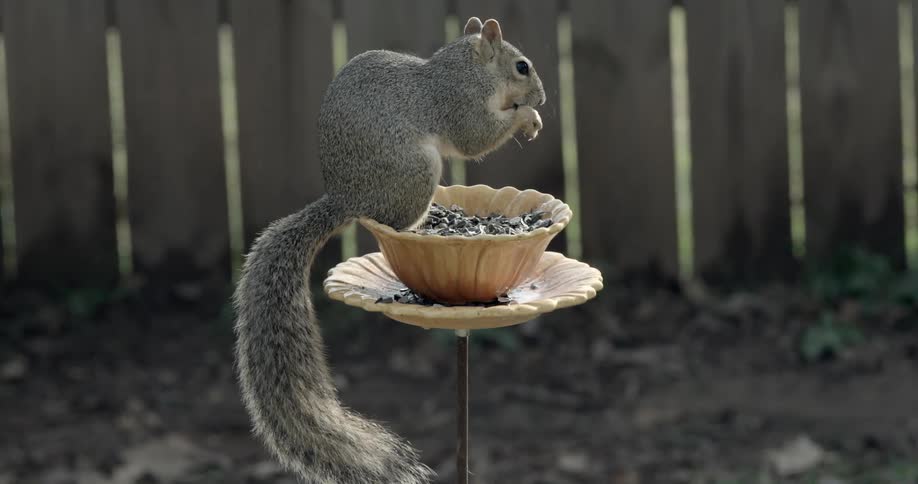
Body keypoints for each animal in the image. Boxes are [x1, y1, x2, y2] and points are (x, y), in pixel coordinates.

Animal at [233, 17, 545, 484]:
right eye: (522, 67)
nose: (542, 97)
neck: (469, 68)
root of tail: (347, 198)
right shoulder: (460, 104)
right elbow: (475, 140)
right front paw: (526, 115)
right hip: (416, 172)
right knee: (396, 223)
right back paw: (424, 226)